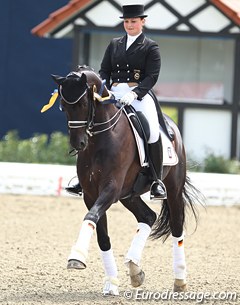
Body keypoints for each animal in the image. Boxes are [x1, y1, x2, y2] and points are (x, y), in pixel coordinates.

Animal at [50, 64, 199, 294]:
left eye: (83, 103)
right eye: (63, 106)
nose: (78, 143)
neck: (102, 137)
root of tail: (171, 124)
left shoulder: (110, 188)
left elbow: (90, 217)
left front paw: (76, 256)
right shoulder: (91, 194)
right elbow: (102, 235)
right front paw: (111, 282)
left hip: (172, 189)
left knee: (176, 227)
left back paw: (180, 280)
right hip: (128, 194)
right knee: (148, 217)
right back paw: (135, 269)